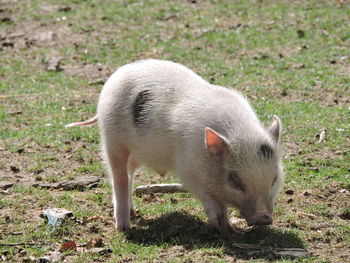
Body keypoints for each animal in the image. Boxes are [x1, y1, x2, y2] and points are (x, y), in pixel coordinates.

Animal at [66, 59, 284, 233]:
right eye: (235, 180)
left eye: (274, 179)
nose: (263, 218)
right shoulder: (189, 170)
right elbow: (211, 201)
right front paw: (226, 228)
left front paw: (232, 230)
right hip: (113, 139)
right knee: (118, 178)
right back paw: (124, 227)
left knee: (129, 177)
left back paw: (134, 213)